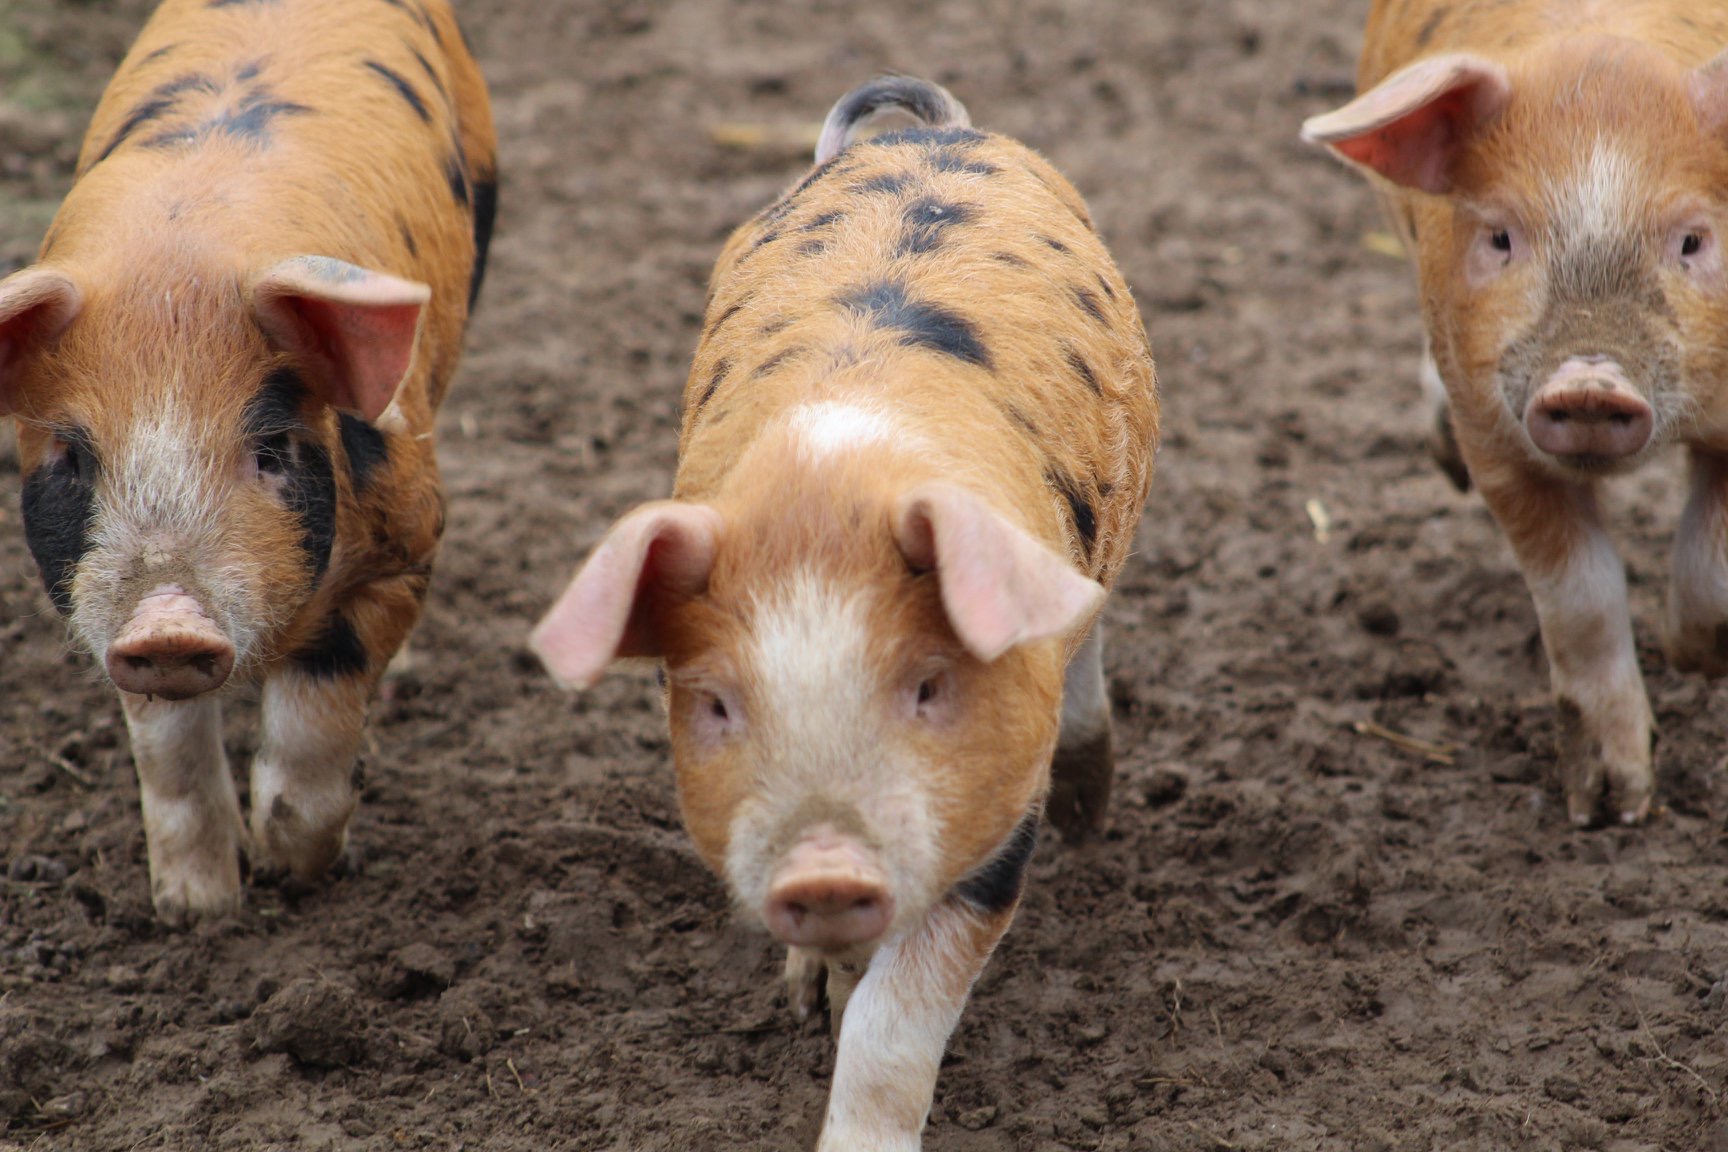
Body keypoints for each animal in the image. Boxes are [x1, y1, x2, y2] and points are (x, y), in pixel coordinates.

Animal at [1, 0, 501, 918]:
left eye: (269, 448)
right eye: (75, 455)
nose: (169, 620)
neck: (177, 265)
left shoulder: (403, 549)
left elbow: (313, 730)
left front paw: (291, 872)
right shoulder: (99, 605)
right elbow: (169, 757)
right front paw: (197, 910)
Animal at [528, 76, 1161, 1146]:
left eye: (930, 687)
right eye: (715, 704)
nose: (823, 867)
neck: (828, 486)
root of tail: (935, 134)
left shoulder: (999, 826)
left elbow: (894, 1026)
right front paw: (806, 1006)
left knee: (1090, 624)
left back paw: (1092, 820)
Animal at [1299, 0, 1728, 829]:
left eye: (1693, 240)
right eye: (1500, 237)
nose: (1589, 380)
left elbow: (1710, 562)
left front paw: (1698, 657)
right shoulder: (1492, 434)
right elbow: (1580, 599)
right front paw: (1609, 809)